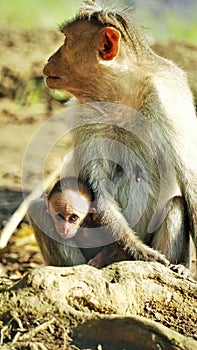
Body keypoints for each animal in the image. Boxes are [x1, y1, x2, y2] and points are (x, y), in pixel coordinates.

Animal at [43, 0, 197, 258]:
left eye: (66, 39)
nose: (49, 59)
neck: (121, 93)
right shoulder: (86, 113)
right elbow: (97, 186)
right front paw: (138, 249)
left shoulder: (169, 98)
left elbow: (191, 177)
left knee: (176, 205)